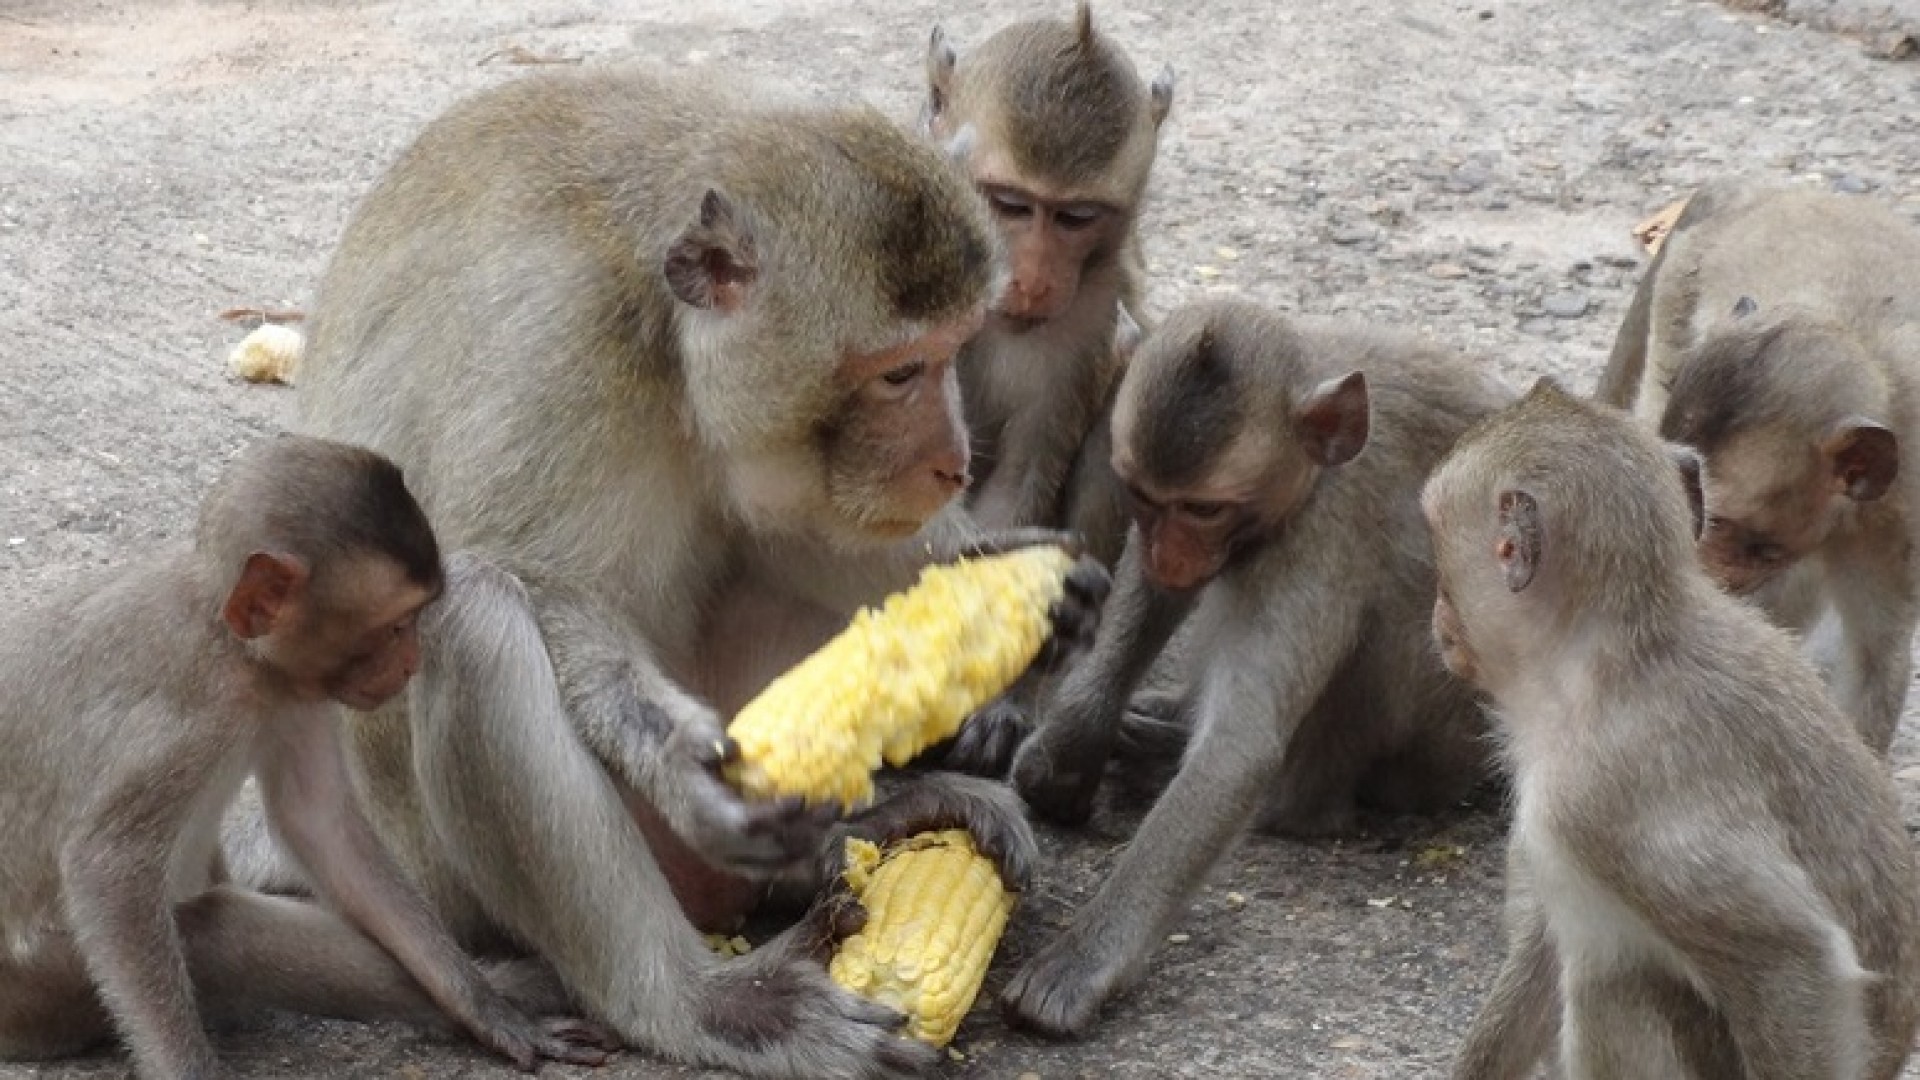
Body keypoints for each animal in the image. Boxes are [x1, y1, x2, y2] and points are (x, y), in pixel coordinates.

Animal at [255, 69, 1105, 1076]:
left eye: (953, 350)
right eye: (900, 373)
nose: (952, 462)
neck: (665, 341)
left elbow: (800, 529)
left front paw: (1014, 581)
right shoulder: (557, 346)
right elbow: (526, 577)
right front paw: (686, 769)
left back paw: (864, 823)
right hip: (433, 874)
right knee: (474, 621)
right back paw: (700, 1003)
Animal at [998, 299, 1505, 1037]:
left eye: (1205, 507)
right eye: (1143, 496)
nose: (1173, 552)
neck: (1316, 465)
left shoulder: (1323, 534)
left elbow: (1238, 749)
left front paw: (1084, 959)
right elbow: (1156, 593)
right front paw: (1070, 746)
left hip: (1441, 741)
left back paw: (1287, 799)